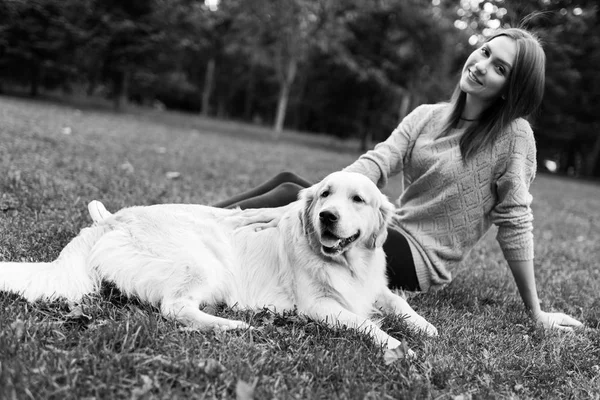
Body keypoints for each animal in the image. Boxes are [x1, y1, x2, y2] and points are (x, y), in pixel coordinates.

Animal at [0, 172, 436, 354]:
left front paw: (424, 327)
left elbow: (398, 301)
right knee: (175, 308)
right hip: (205, 261)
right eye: (326, 193)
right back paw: (236, 326)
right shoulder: (319, 305)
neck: (346, 262)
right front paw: (397, 345)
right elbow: (365, 323)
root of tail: (112, 219)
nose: (327, 216)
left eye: (358, 200)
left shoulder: (374, 287)